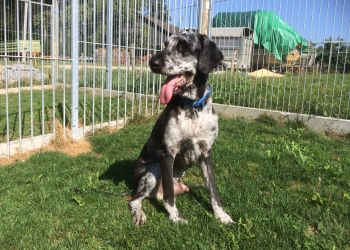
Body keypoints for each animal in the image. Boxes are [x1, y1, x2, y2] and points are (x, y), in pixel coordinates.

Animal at [128, 32, 232, 226]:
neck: (193, 108)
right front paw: (175, 218)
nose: (152, 62)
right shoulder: (166, 154)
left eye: (184, 46)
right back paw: (139, 213)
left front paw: (222, 215)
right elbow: (169, 195)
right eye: (165, 44)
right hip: (153, 170)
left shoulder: (206, 153)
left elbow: (213, 191)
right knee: (134, 199)